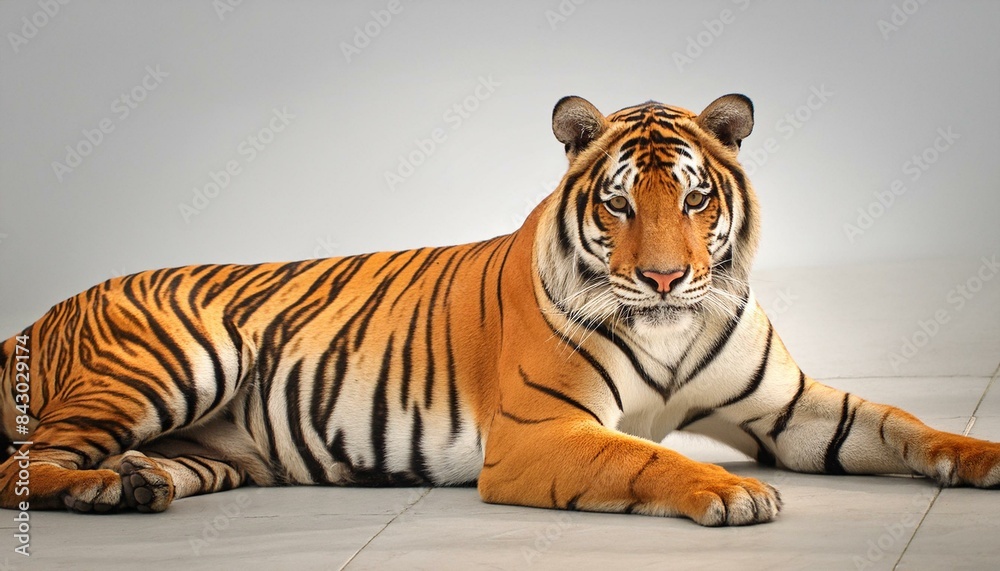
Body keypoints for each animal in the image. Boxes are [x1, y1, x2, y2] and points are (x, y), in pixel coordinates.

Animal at [1, 93, 998, 527]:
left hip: (219, 447)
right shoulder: (538, 432)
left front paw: (983, 456)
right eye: (619, 204)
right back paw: (99, 487)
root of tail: (51, 307)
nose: (665, 279)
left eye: (695, 198)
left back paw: (140, 483)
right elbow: (643, 455)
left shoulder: (789, 406)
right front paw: (731, 489)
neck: (672, 326)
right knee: (23, 461)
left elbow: (903, 423)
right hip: (171, 365)